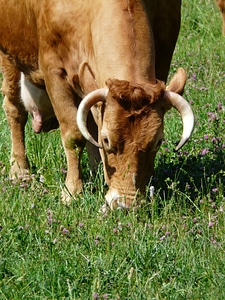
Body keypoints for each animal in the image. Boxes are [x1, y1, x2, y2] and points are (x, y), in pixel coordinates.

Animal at [0, 0, 193, 211]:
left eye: (158, 141)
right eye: (107, 140)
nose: (125, 204)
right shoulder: (54, 71)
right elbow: (74, 136)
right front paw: (72, 192)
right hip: (10, 58)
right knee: (15, 110)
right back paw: (20, 171)